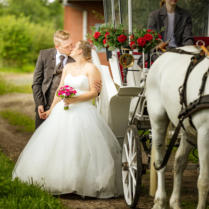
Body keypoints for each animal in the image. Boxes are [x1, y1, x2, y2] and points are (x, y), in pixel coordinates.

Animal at [145, 46, 209, 209]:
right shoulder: (204, 134)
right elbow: (204, 181)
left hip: (188, 130)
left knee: (179, 162)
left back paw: (174, 202)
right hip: (158, 120)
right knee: (160, 161)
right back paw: (160, 200)